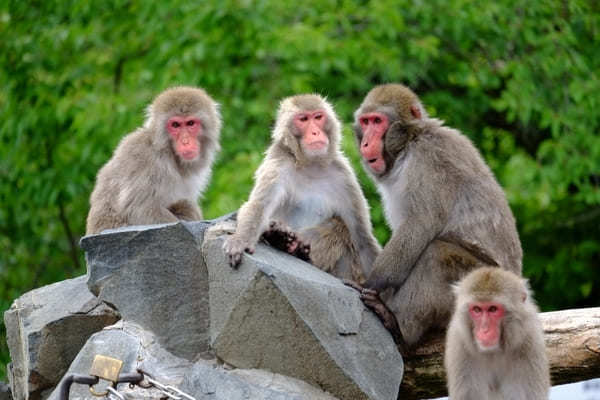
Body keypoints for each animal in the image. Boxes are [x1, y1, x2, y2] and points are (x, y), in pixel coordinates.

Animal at [85, 85, 221, 234]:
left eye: (190, 123)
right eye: (175, 125)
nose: (185, 141)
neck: (169, 153)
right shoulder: (147, 161)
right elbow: (140, 210)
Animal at [225, 93, 380, 282]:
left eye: (318, 117)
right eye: (303, 119)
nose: (315, 132)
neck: (311, 165)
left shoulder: (344, 176)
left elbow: (362, 238)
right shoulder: (278, 163)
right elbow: (258, 207)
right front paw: (240, 240)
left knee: (341, 226)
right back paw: (280, 238)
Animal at [442, 266, 552, 400]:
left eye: (493, 309)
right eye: (477, 309)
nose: (484, 330)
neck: (494, 352)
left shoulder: (529, 342)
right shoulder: (460, 345)